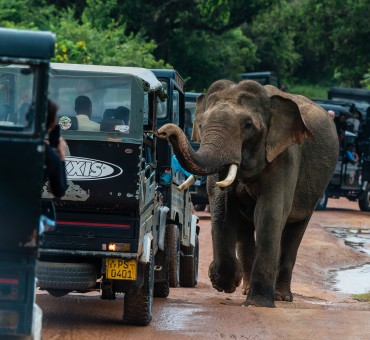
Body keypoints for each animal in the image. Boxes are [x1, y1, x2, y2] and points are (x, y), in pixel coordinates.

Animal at [156, 80, 338, 308]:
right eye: (201, 125)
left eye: (248, 125)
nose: (163, 131)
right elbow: (222, 207)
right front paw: (224, 283)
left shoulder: (284, 156)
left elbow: (269, 213)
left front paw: (258, 304)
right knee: (245, 229)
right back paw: (245, 289)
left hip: (314, 192)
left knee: (294, 231)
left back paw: (281, 296)